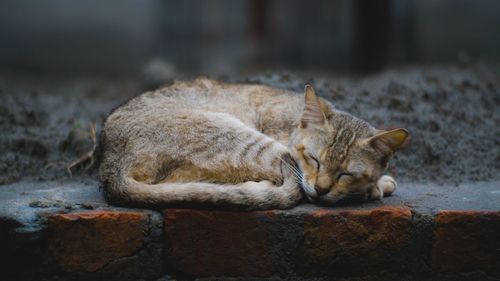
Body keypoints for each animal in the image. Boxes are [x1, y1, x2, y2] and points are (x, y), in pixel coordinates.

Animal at [99, 77, 408, 209]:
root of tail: (110, 167)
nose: (321, 190)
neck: (292, 121)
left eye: (346, 173)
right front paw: (376, 186)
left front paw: (376, 183)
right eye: (314, 159)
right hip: (251, 142)